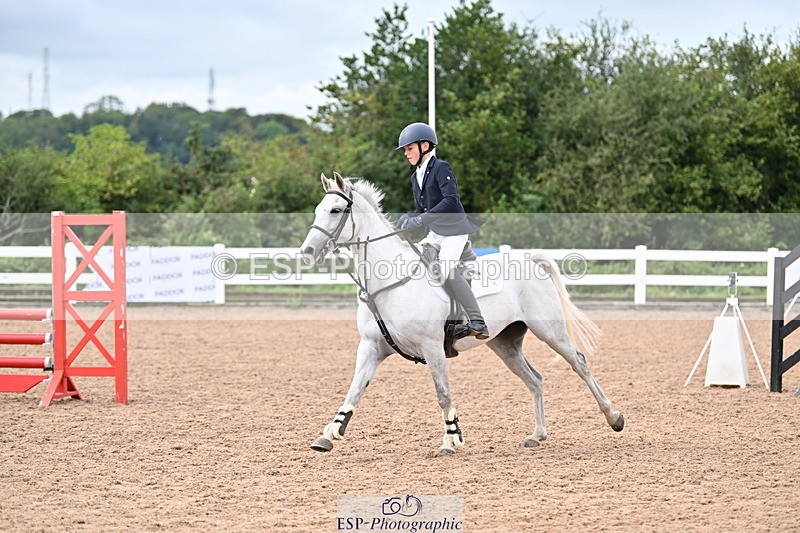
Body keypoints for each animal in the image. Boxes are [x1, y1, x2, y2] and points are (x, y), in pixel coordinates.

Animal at [301, 172, 624, 456]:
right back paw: (537, 435)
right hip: (504, 343)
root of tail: (530, 259)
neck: (390, 282)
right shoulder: (371, 347)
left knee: (579, 363)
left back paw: (614, 417)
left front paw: (450, 440)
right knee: (535, 379)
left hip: (549, 331)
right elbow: (354, 390)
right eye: (317, 210)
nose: (307, 252)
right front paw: (328, 434)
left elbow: (443, 394)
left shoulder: (432, 347)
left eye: (336, 209)